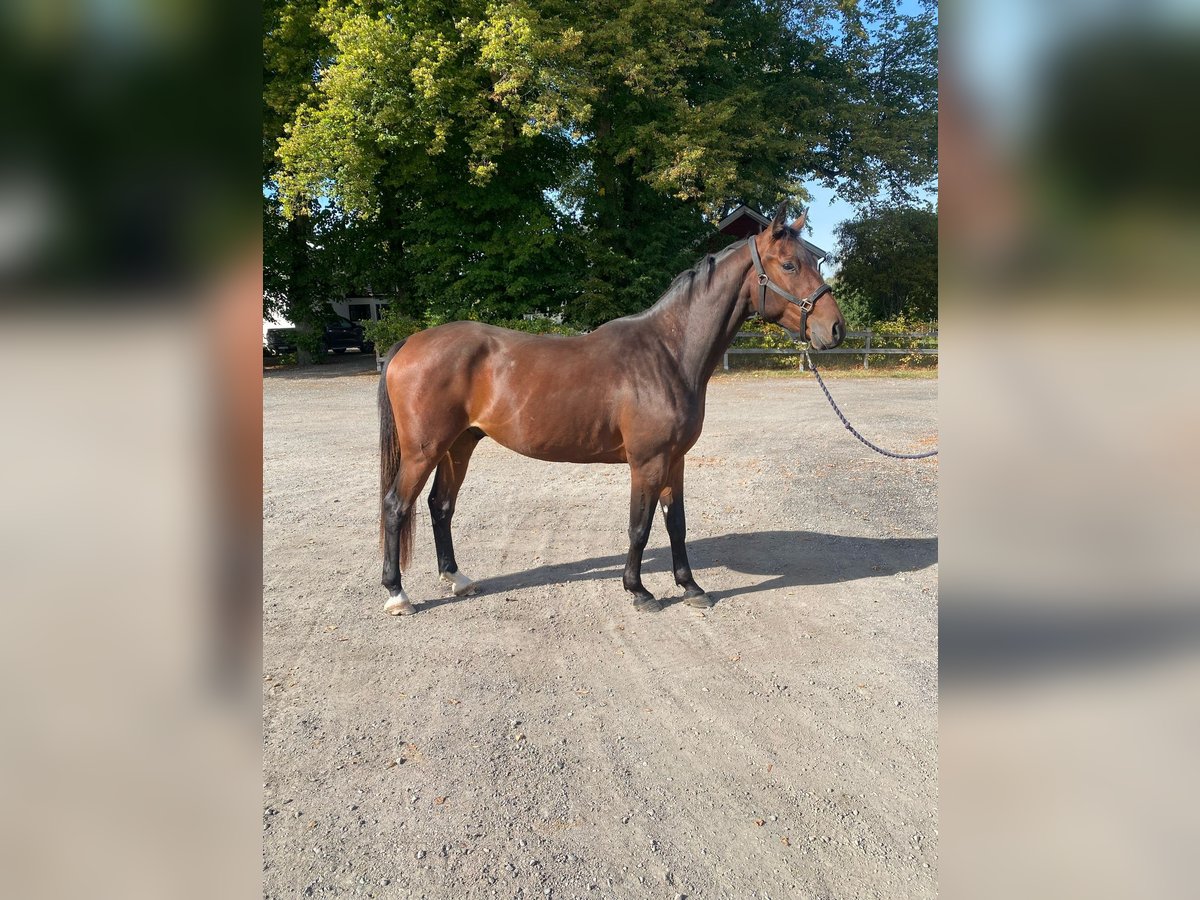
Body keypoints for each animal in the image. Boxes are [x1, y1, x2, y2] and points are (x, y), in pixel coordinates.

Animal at [374, 204, 844, 619]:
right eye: (789, 265)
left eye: (813, 261)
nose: (835, 329)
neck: (667, 354)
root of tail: (410, 343)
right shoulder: (647, 462)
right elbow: (640, 526)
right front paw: (639, 592)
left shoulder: (675, 460)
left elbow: (676, 524)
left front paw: (691, 587)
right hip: (423, 450)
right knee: (396, 505)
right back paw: (398, 595)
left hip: (460, 444)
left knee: (440, 505)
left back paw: (456, 579)